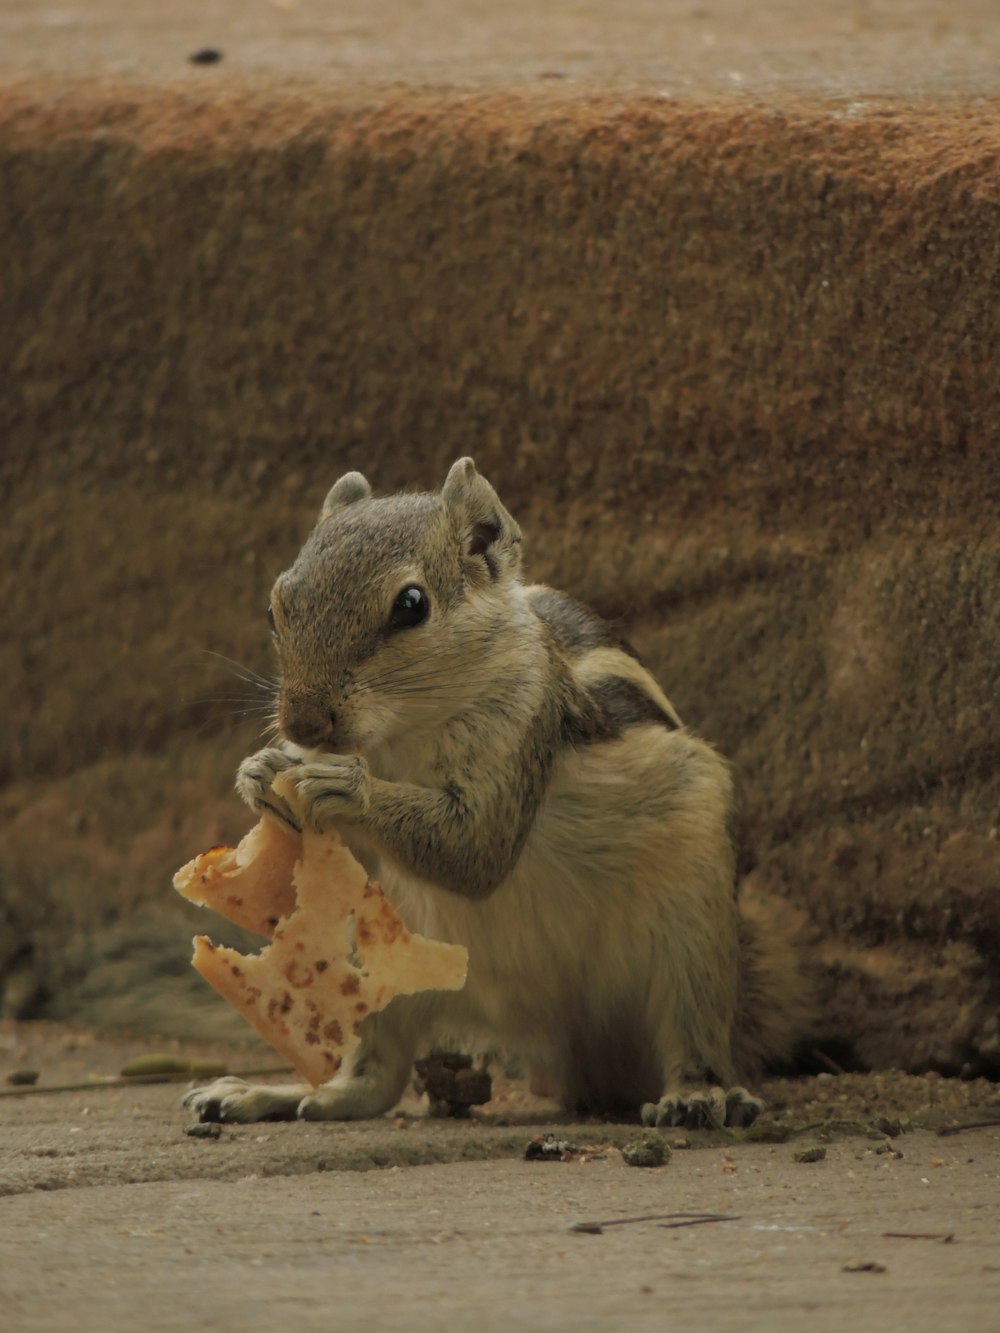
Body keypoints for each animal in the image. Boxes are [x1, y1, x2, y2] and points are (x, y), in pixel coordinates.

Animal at [184, 455, 810, 1125]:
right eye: (275, 608)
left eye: (412, 605)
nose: (302, 724)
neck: (405, 733)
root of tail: (570, 1039)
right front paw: (261, 774)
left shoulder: (520, 731)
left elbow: (474, 848)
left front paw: (344, 787)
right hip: (383, 965)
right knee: (372, 1082)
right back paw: (272, 1094)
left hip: (694, 934)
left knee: (695, 1035)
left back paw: (699, 1095)